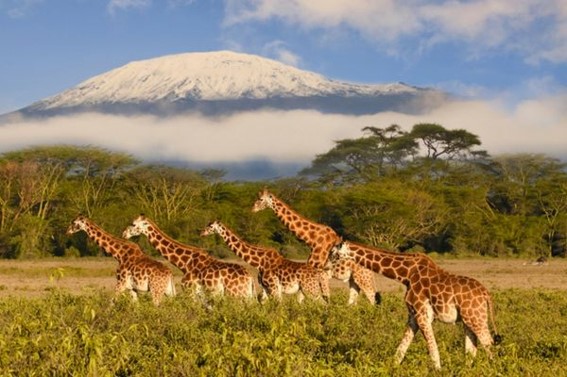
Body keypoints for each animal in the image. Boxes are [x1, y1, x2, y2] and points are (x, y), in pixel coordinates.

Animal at [122, 214, 255, 300]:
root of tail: (250, 278)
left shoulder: (190, 291)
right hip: (246, 295)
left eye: (133, 224)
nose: (124, 234)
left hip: (235, 294)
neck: (185, 263)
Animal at [201, 220, 330, 302]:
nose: (202, 232)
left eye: (210, 226)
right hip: (317, 289)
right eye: (207, 225)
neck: (259, 262)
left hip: (310, 289)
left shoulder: (272, 287)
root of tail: (321, 274)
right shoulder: (266, 288)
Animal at [251, 188, 380, 306]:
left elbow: (306, 298)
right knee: (355, 298)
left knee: (371, 297)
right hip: (354, 279)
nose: (253, 209)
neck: (312, 239)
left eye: (260, 199)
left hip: (362, 277)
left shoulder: (317, 272)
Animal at [332, 239, 502, 368]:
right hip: (468, 319)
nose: (327, 263)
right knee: (472, 349)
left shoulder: (422, 314)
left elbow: (433, 350)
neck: (406, 274)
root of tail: (486, 294)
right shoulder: (413, 316)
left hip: (476, 318)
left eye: (334, 253)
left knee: (489, 345)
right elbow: (400, 350)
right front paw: (391, 368)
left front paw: (438, 371)